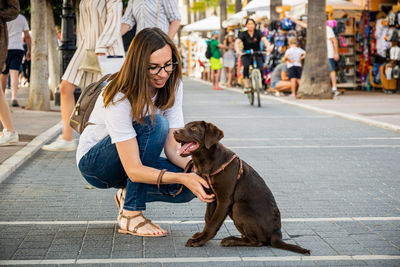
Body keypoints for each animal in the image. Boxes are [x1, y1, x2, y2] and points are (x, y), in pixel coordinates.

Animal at [173, 121, 310, 255]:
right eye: (185, 126)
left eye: (194, 128)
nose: (174, 131)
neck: (206, 161)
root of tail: (276, 233)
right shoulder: (211, 196)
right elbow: (208, 218)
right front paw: (201, 236)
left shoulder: (225, 200)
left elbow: (213, 222)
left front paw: (199, 240)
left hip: (239, 207)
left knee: (258, 242)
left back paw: (231, 240)